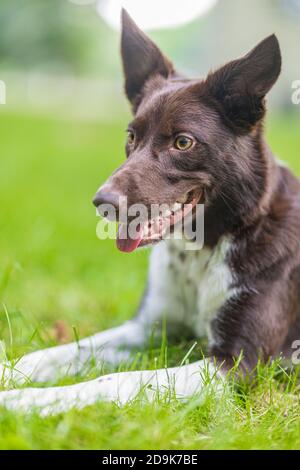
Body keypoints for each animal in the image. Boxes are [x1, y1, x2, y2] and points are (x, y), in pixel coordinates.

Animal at [0, 9, 300, 414]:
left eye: (183, 142)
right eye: (131, 136)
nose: (103, 203)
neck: (204, 248)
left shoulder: (235, 364)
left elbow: (114, 381)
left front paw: (26, 402)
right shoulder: (148, 328)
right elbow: (62, 352)